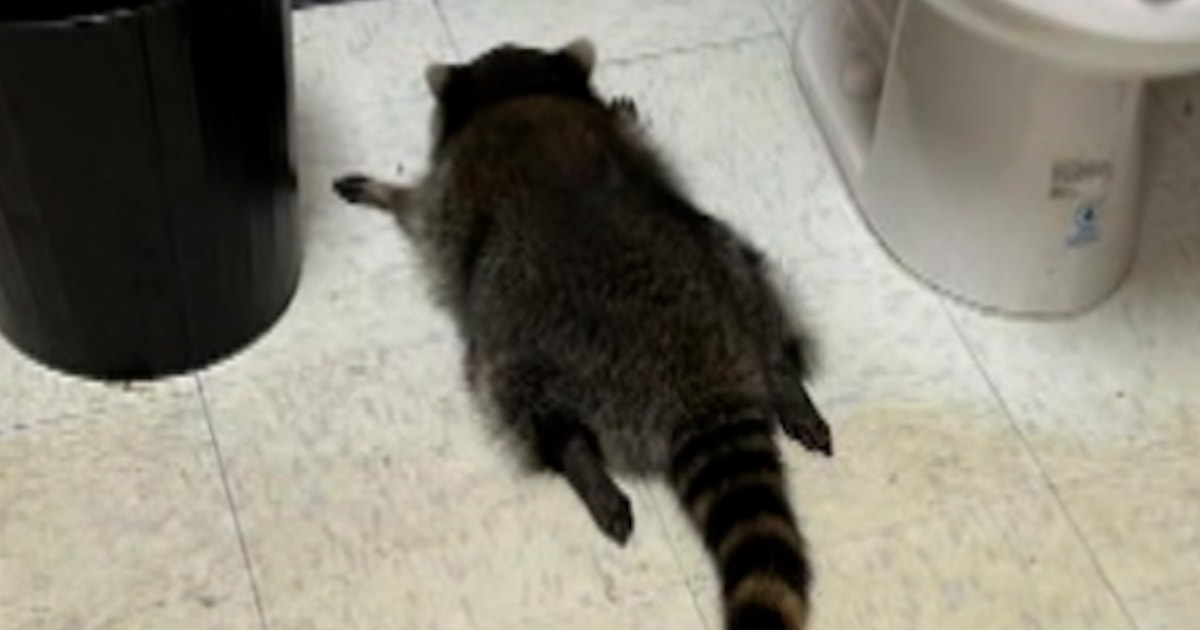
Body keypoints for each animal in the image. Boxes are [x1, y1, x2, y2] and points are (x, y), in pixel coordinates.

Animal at [333, 39, 832, 630]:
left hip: (523, 338)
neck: (516, 90)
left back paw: (578, 458)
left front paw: (386, 190)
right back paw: (783, 376)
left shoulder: (449, 191)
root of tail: (701, 378)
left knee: (516, 396)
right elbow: (631, 133)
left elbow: (418, 209)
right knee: (753, 282)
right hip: (724, 261)